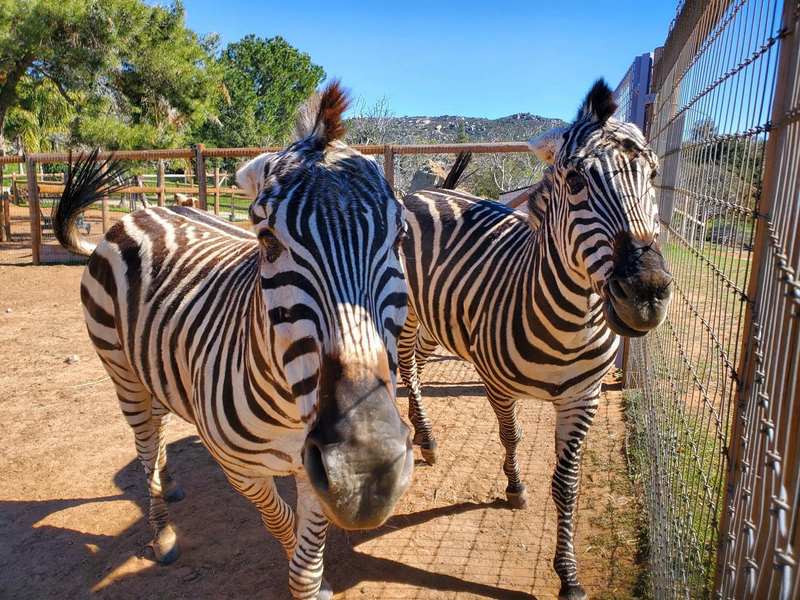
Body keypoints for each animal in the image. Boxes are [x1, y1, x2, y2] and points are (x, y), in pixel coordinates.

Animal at [51, 81, 412, 600]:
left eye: (399, 236)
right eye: (266, 240)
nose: (365, 472)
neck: (289, 406)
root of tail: (143, 211)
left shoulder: (312, 468)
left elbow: (307, 560)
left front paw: (316, 579)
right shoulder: (241, 470)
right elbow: (281, 526)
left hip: (157, 365)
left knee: (158, 427)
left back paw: (170, 480)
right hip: (121, 373)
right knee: (143, 446)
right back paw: (162, 530)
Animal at [398, 81, 668, 600]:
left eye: (654, 174)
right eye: (576, 180)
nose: (646, 294)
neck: (568, 324)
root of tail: (427, 191)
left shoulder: (584, 397)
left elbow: (567, 485)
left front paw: (569, 576)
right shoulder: (497, 385)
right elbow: (512, 435)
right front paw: (515, 487)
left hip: (434, 320)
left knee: (417, 363)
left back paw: (423, 433)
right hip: (401, 312)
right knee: (404, 369)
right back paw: (425, 437)